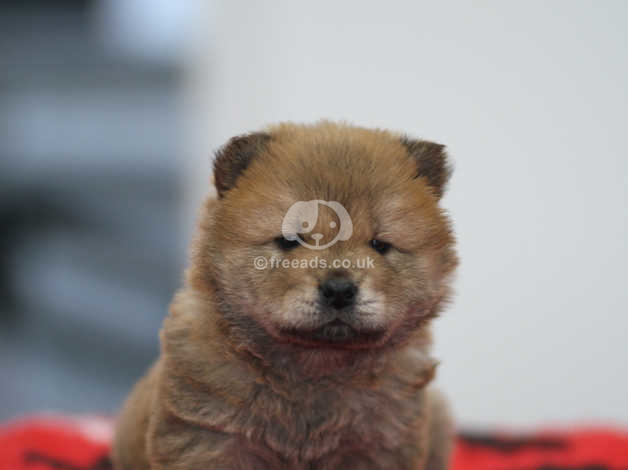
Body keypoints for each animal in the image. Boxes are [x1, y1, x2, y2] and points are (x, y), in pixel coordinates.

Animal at [111, 122, 456, 470]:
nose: (339, 290)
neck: (316, 368)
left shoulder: (378, 446)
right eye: (290, 240)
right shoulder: (209, 439)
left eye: (379, 245)